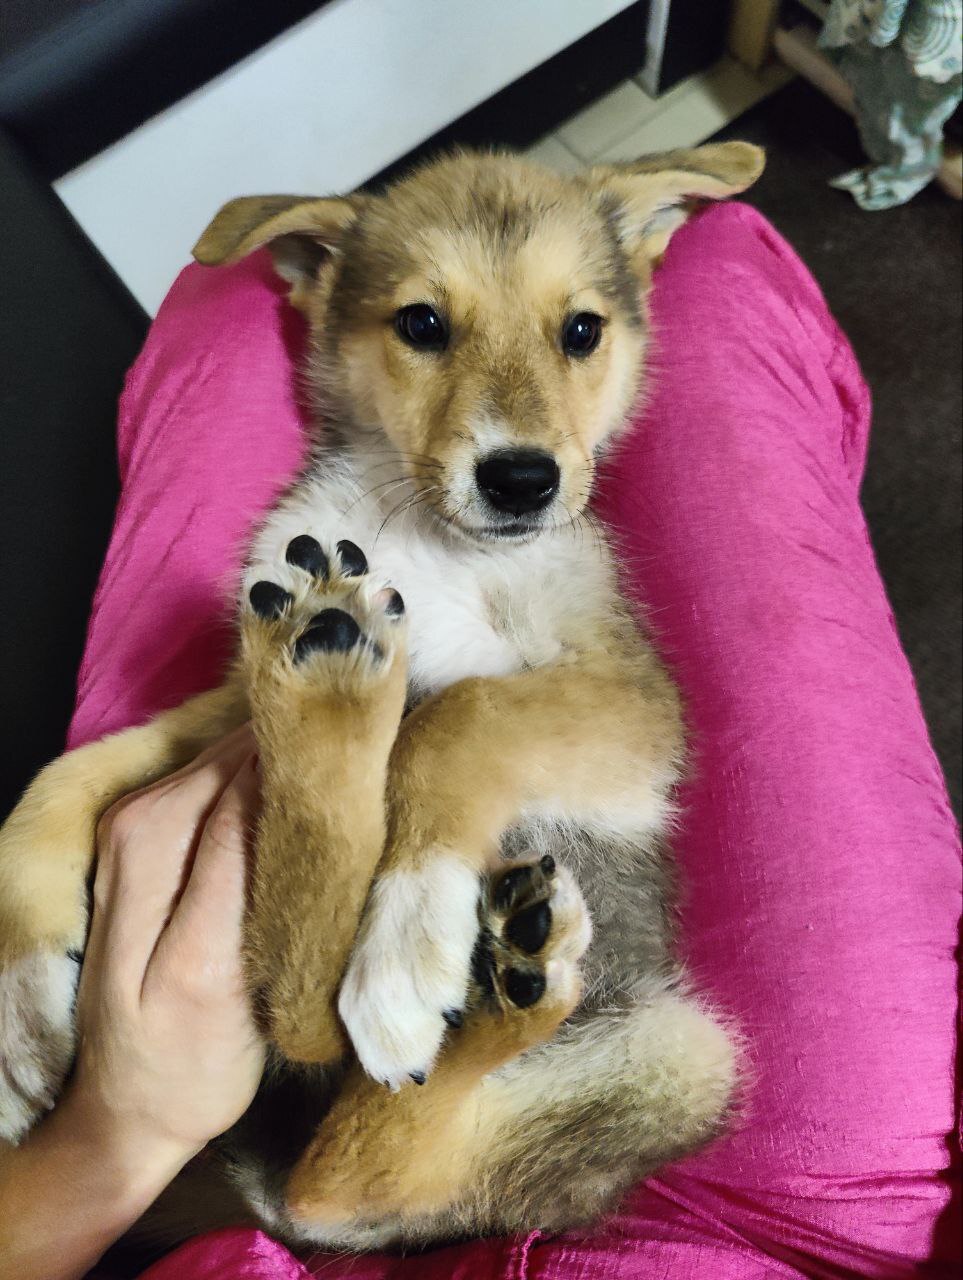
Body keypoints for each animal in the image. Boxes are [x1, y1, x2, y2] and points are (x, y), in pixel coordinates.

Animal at [1, 142, 768, 1249]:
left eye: (581, 330)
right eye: (421, 324)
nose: (522, 480)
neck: (423, 536)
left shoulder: (633, 708)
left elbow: (459, 716)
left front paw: (405, 936)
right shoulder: (242, 671)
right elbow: (60, 779)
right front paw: (21, 1010)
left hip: (686, 1053)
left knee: (354, 1165)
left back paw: (493, 979)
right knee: (323, 1103)